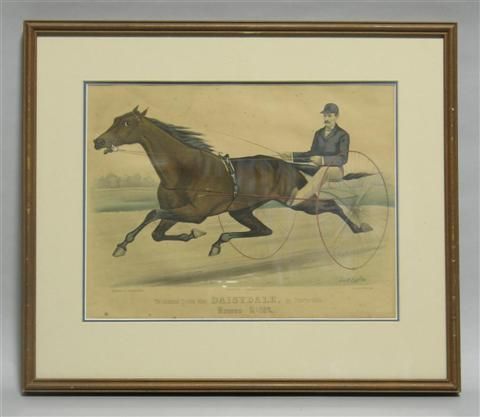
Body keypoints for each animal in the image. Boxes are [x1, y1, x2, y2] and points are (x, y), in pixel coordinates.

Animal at [93, 106, 372, 257]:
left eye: (126, 122)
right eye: (115, 119)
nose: (98, 141)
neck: (187, 169)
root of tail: (286, 164)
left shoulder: (195, 212)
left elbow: (152, 213)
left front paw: (122, 244)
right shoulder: (177, 211)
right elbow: (157, 232)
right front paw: (190, 235)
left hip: (296, 201)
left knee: (330, 205)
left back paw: (360, 228)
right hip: (242, 210)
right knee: (264, 230)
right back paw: (220, 241)